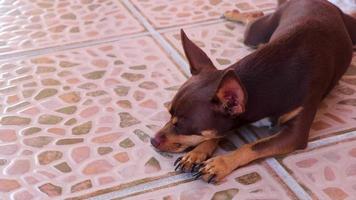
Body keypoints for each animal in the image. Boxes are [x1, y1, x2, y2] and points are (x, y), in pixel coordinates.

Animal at [149, 0, 356, 184]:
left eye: (181, 126)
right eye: (169, 115)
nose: (152, 140)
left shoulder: (294, 135)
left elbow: (253, 146)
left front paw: (219, 164)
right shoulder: (236, 119)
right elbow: (217, 134)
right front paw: (196, 153)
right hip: (255, 35)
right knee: (254, 18)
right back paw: (235, 13)